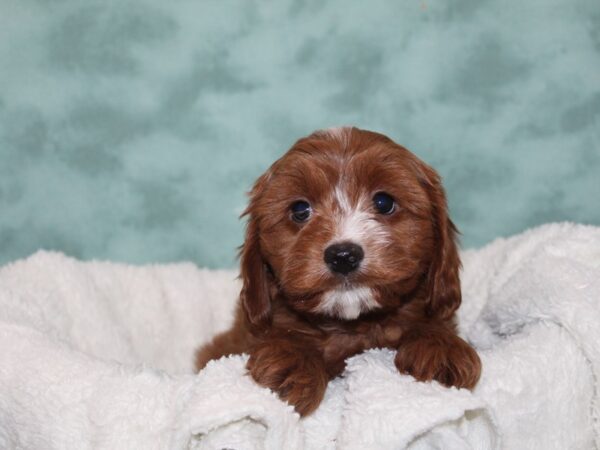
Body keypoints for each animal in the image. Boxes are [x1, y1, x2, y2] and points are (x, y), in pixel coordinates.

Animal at [195, 126, 480, 414]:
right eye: (300, 210)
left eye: (383, 202)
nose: (343, 256)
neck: (352, 326)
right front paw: (293, 363)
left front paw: (439, 348)